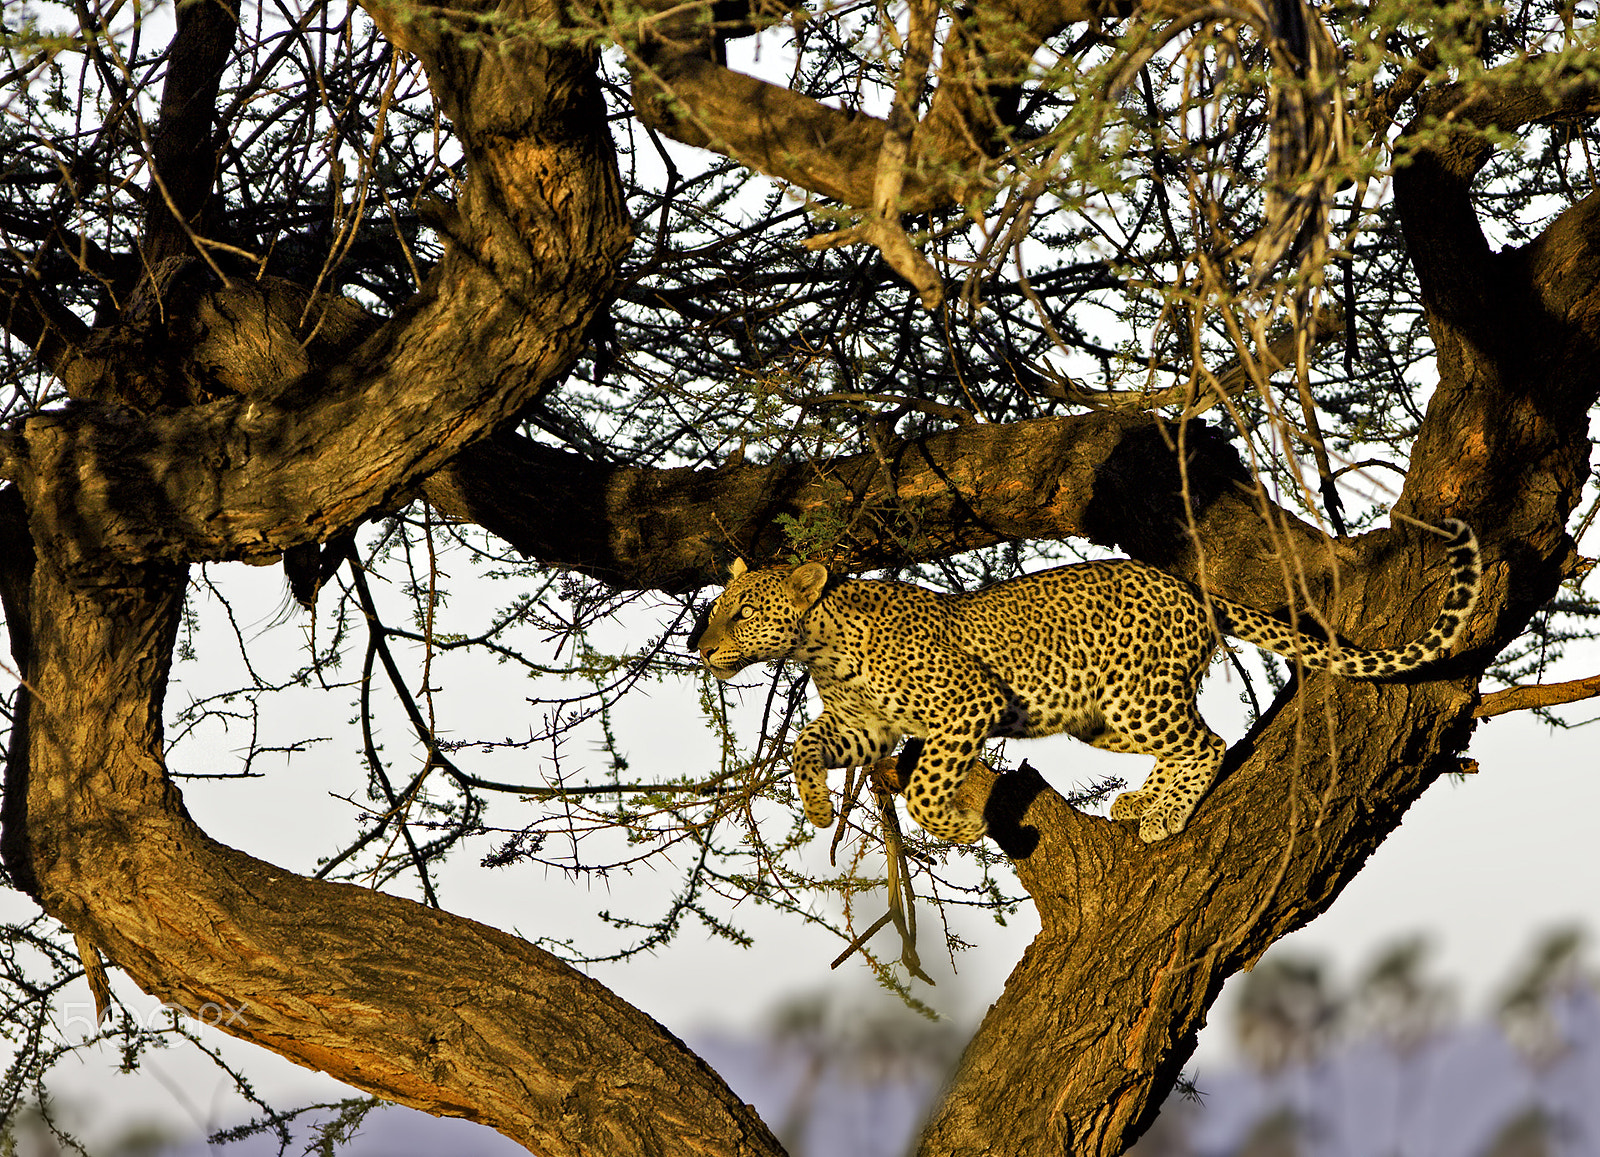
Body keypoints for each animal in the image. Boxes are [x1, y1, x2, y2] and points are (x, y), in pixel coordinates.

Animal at [694, 521, 1478, 844]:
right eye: (718, 607)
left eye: (742, 611)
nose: (702, 648)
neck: (821, 647)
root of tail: (1188, 586)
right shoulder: (864, 725)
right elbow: (804, 742)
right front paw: (816, 805)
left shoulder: (966, 705)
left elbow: (923, 784)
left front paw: (957, 824)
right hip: (1103, 718)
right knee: (1186, 744)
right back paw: (1142, 802)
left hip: (1138, 695)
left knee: (1209, 741)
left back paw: (1164, 816)